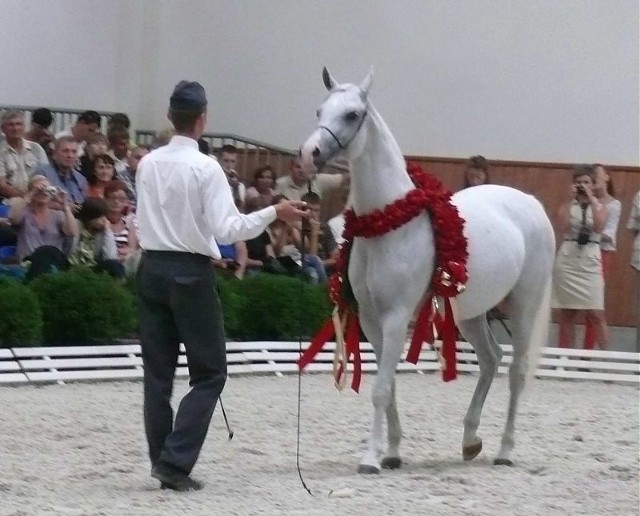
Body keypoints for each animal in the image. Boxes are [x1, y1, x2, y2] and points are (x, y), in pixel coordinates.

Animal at [300, 68, 556, 476]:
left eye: (352, 114)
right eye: (319, 110)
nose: (310, 155)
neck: (386, 221)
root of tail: (531, 204)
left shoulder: (395, 316)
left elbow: (381, 389)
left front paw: (370, 459)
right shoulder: (371, 319)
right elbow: (387, 387)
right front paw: (391, 452)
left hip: (523, 306)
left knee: (516, 370)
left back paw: (505, 450)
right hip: (468, 313)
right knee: (491, 359)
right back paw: (470, 441)